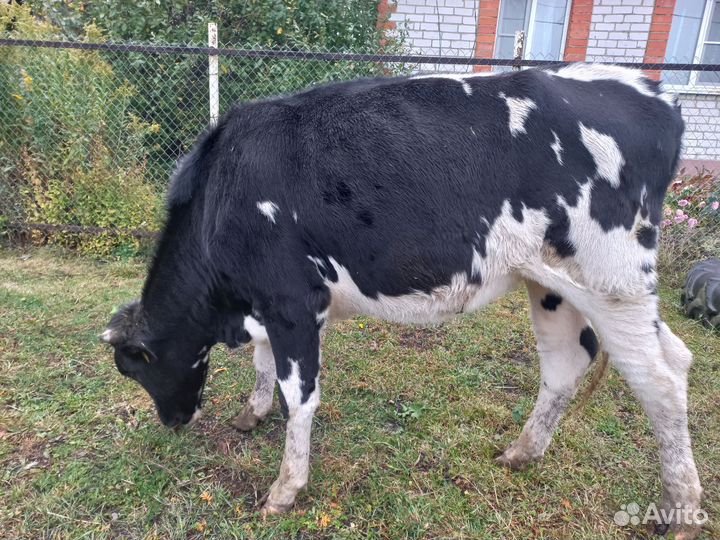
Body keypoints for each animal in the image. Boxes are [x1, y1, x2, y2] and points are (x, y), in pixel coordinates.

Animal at [101, 63, 703, 538]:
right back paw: (521, 453)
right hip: (554, 283)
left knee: (662, 376)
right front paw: (253, 412)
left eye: (137, 368)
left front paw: (285, 487)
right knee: (571, 363)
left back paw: (678, 506)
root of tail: (650, 90)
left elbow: (300, 395)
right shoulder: (273, 305)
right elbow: (263, 360)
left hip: (614, 278)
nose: (173, 421)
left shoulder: (292, 299)